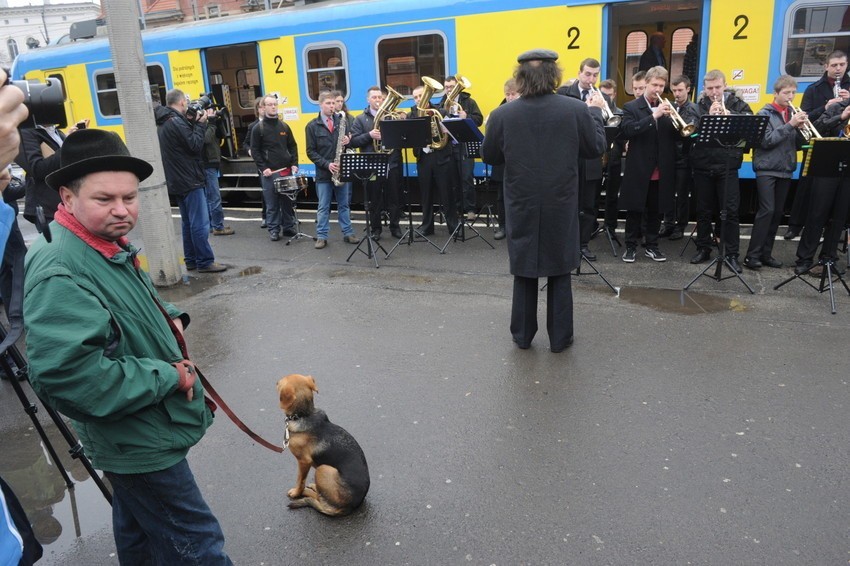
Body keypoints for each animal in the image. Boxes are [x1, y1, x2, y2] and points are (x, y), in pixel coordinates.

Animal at [276, 374, 370, 516]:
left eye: (281, 381)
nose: (276, 382)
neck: (304, 414)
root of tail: (349, 507)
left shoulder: (304, 461)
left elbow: (300, 480)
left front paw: (296, 492)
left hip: (323, 468)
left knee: (320, 499)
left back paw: (307, 492)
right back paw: (315, 487)